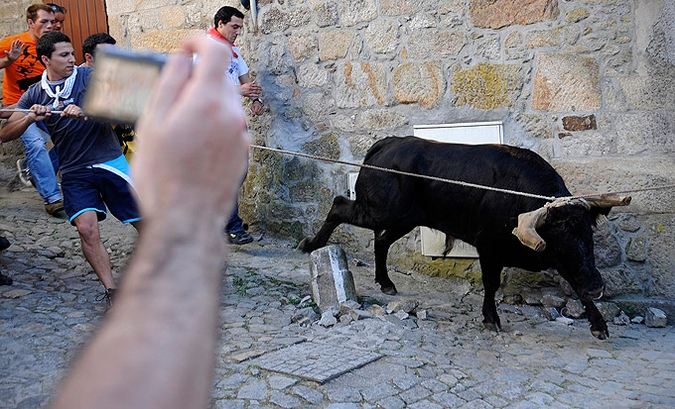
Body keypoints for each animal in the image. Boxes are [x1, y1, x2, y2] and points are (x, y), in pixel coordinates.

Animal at [302, 135, 628, 340]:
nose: (599, 287)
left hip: (404, 218)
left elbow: (576, 281)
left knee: (380, 241)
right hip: (382, 211)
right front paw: (491, 319)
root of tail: (390, 142)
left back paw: (385, 282)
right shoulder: (489, 248)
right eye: (559, 240)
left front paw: (598, 323)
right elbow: (491, 283)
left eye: (589, 236)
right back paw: (312, 244)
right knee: (339, 205)